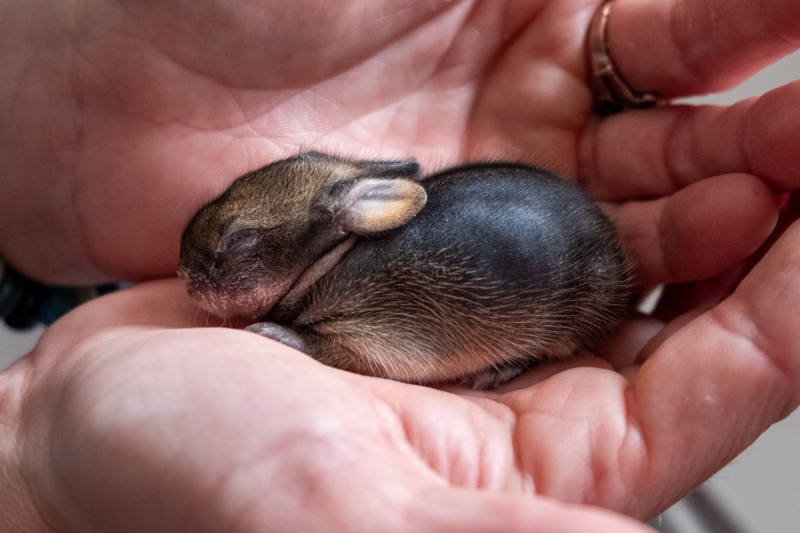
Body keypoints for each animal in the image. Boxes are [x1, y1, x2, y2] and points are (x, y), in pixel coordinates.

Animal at [179, 151, 633, 389]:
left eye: (238, 238)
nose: (184, 275)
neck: (325, 263)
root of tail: (614, 247)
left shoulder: (372, 336)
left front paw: (274, 333)